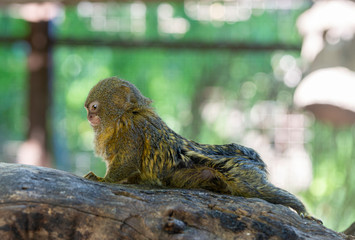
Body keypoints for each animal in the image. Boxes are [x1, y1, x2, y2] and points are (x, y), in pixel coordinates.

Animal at [84, 77, 322, 223]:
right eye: (87, 109)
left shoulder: (132, 131)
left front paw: (104, 179)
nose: (89, 116)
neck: (123, 116)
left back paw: (301, 209)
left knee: (256, 189)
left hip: (240, 172)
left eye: (94, 107)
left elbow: (127, 162)